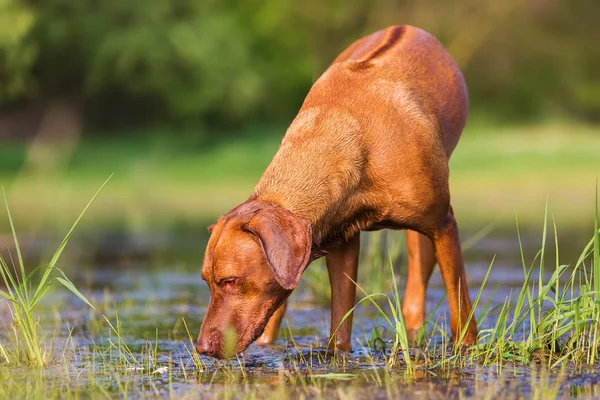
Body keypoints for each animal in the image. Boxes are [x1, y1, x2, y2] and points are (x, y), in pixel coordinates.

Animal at [197, 25, 478, 360]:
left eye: (230, 281)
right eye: (206, 282)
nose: (201, 347)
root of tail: (405, 27)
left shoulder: (443, 224)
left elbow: (460, 306)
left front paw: (467, 349)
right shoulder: (340, 240)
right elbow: (340, 324)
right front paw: (338, 357)